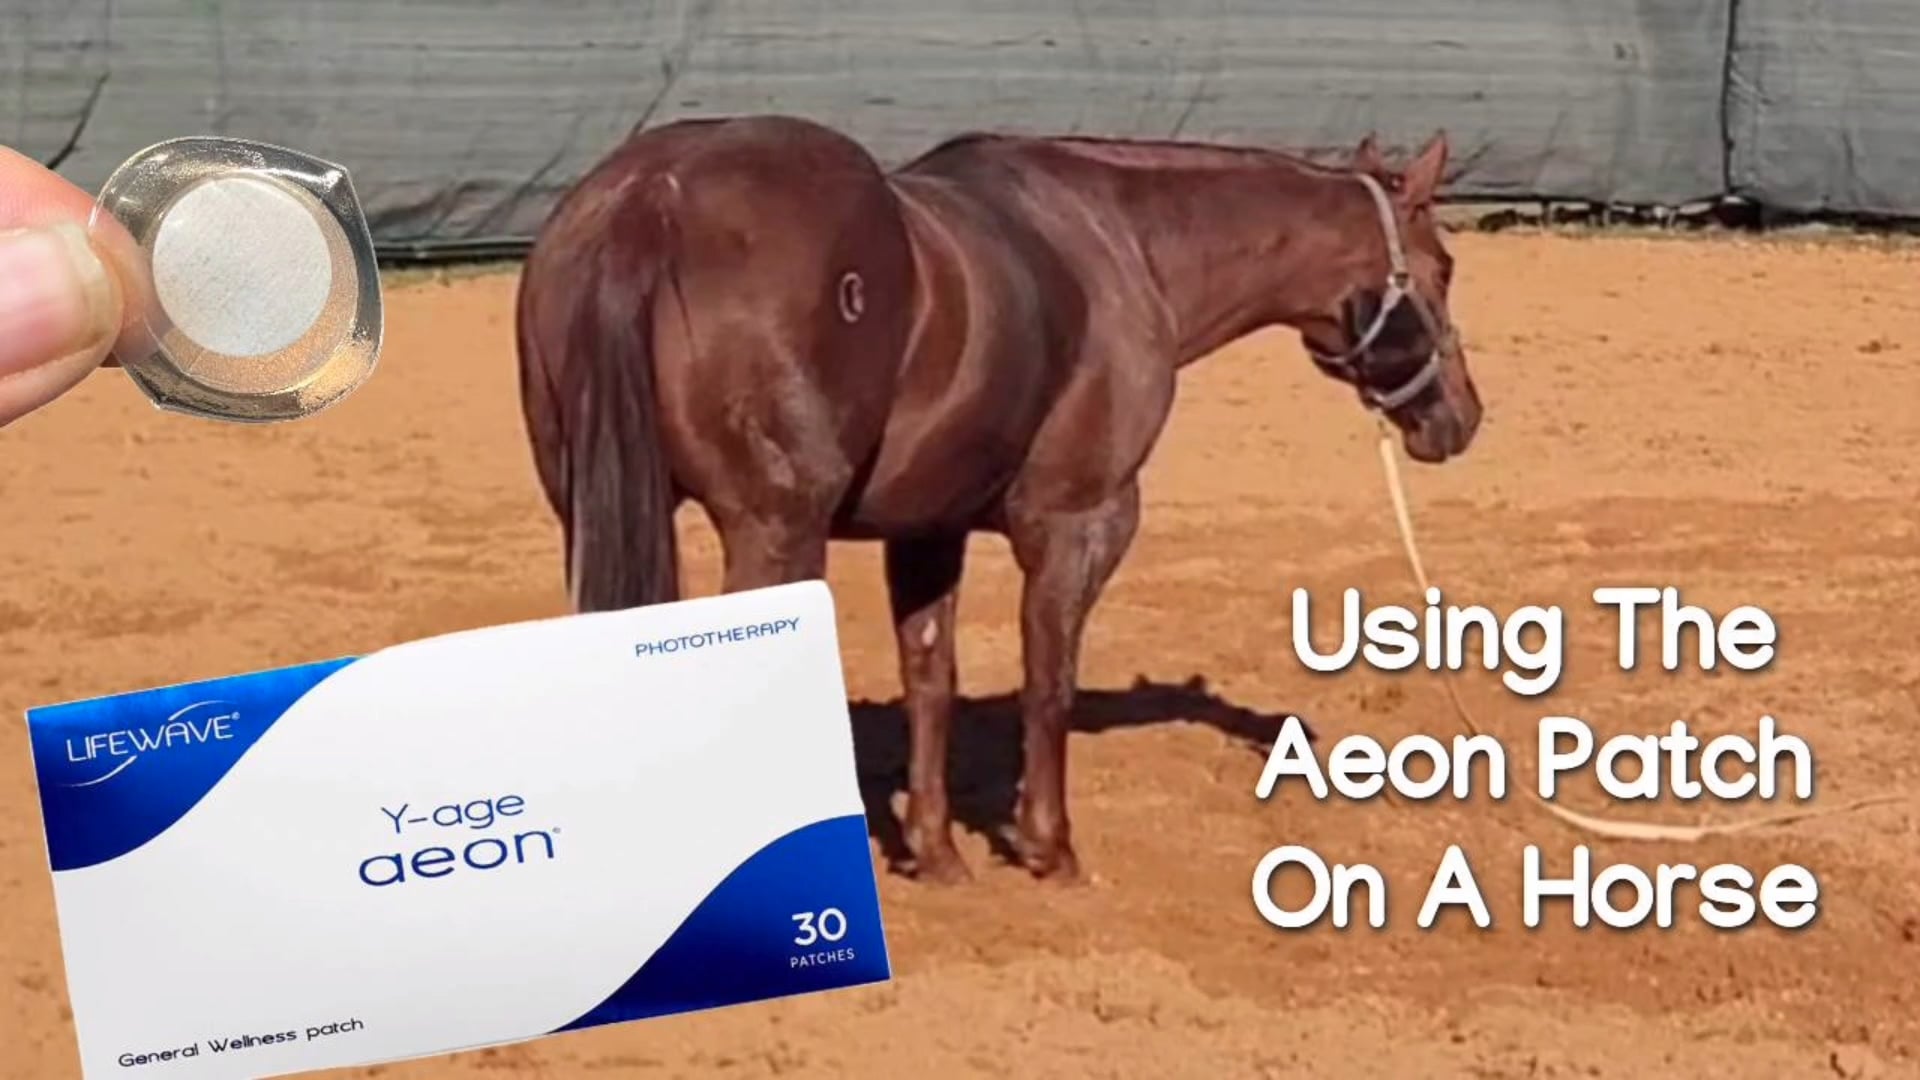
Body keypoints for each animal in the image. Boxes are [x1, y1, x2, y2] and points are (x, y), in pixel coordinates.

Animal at [514, 114, 1483, 885]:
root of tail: (653, 197)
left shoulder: (926, 532)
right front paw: (1050, 848)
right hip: (775, 535)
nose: (1461, 417)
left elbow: (931, 678)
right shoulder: (1080, 521)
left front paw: (936, 851)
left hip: (587, 513)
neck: (1124, 243)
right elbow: (1047, 680)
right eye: (1443, 266)